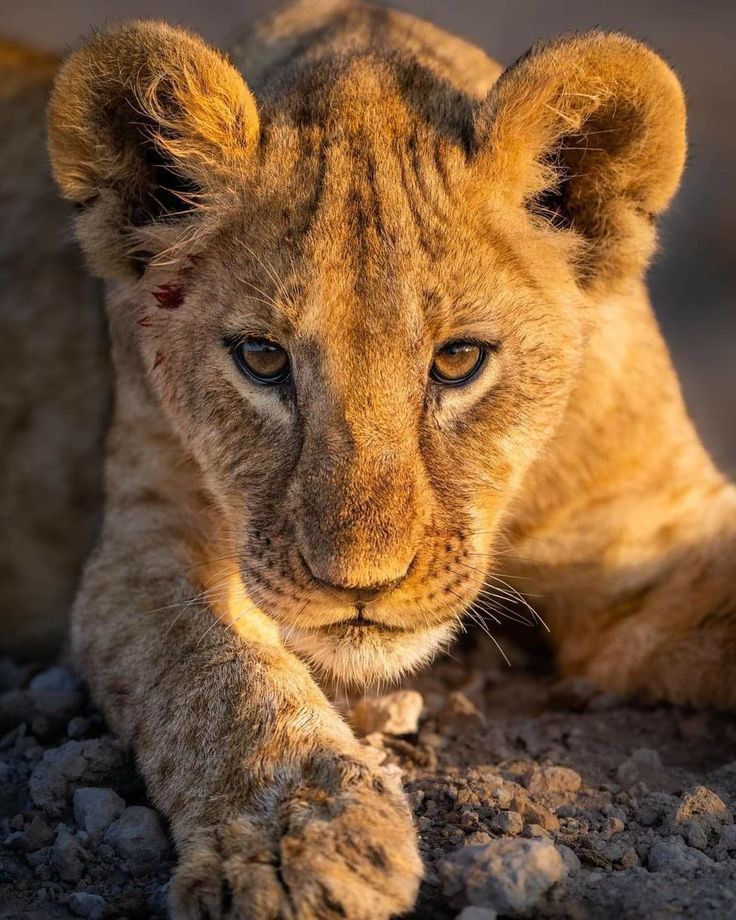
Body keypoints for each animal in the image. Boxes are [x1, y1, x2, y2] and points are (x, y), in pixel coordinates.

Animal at [1, 0, 735, 915]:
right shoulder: (143, 541)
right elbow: (211, 671)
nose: (359, 586)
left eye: (458, 360)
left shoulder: (644, 524)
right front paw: (295, 843)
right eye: (261, 358)